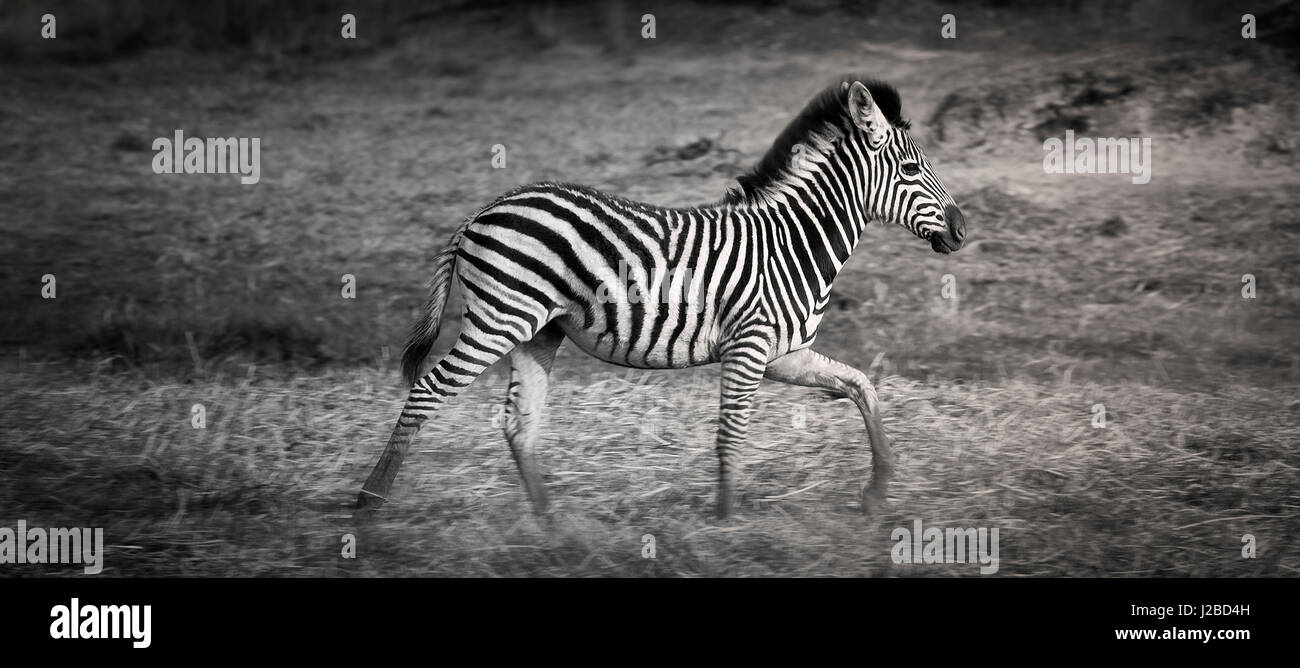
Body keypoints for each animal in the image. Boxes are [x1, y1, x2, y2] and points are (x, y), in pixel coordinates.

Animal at [354, 75, 966, 520]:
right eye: (912, 167)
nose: (962, 230)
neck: (794, 243)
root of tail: (483, 210)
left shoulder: (784, 355)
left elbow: (861, 386)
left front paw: (878, 489)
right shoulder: (749, 349)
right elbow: (730, 434)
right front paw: (726, 522)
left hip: (538, 330)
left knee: (518, 423)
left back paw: (552, 524)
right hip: (500, 318)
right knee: (428, 391)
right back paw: (369, 503)